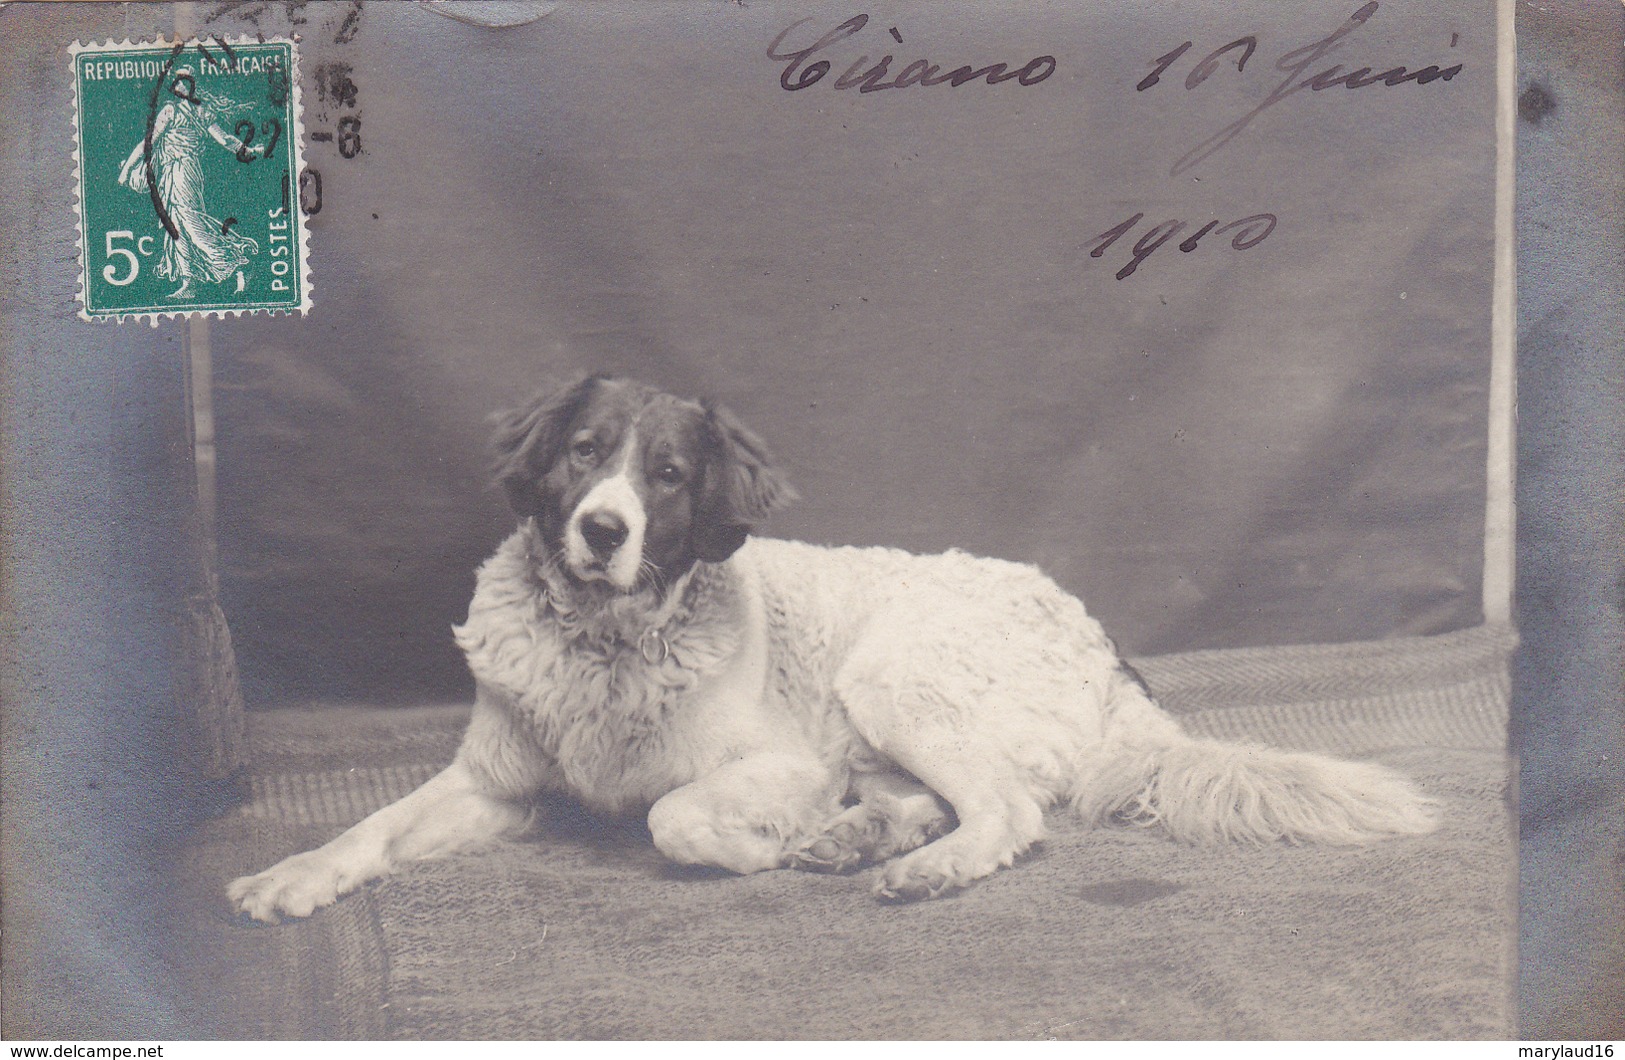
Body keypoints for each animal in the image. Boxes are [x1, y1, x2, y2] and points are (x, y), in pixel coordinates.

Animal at [229, 377, 1436, 923]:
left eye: (667, 475)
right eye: (581, 453)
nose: (604, 529)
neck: (610, 646)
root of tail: (1105, 652)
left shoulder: (776, 762)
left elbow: (673, 817)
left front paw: (756, 848)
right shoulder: (492, 781)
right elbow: (373, 827)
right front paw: (291, 875)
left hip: (887, 678)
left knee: (1009, 812)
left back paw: (910, 861)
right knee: (941, 796)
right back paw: (864, 837)